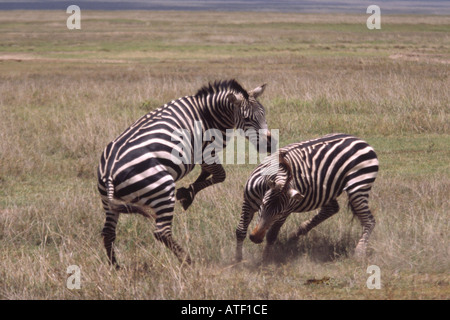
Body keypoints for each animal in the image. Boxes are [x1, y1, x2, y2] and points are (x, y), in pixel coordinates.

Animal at [98, 80, 272, 268]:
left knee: (108, 233)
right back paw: (188, 260)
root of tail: (109, 172)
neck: (207, 113)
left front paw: (187, 193)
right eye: (247, 119)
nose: (270, 145)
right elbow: (220, 175)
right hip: (162, 188)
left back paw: (115, 267)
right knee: (161, 232)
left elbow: (207, 174)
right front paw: (187, 194)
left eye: (264, 114)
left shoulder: (202, 155)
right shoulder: (204, 151)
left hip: (109, 202)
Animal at [236, 134, 380, 262]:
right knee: (332, 209)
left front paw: (265, 260)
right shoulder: (247, 202)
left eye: (279, 213)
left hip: (359, 186)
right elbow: (240, 231)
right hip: (326, 190)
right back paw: (295, 235)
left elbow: (272, 235)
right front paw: (238, 260)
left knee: (369, 221)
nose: (255, 238)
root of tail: (362, 141)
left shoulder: (286, 212)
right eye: (263, 204)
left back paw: (359, 253)